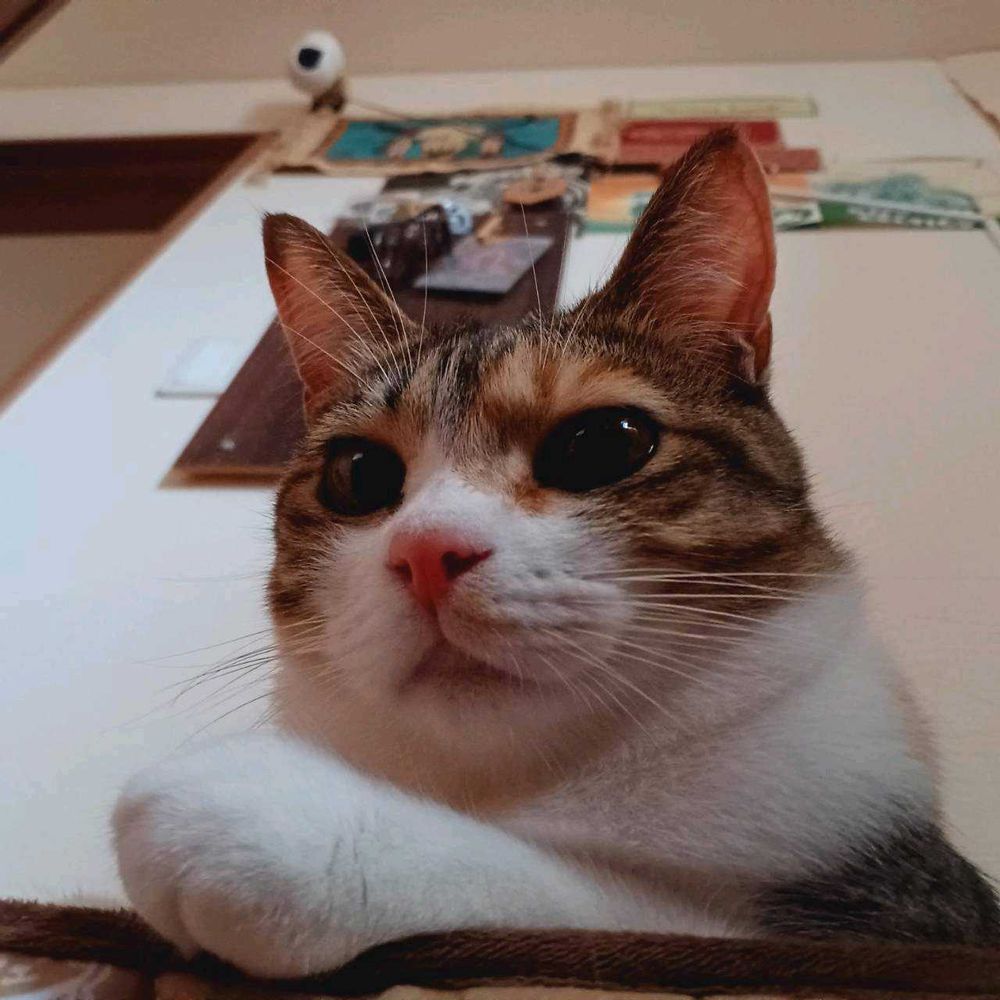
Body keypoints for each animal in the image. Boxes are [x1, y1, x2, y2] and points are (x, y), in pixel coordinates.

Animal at [114, 128, 1000, 978]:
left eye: (601, 444)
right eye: (358, 475)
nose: (427, 552)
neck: (528, 783)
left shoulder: (905, 921)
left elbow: (599, 904)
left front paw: (267, 817)